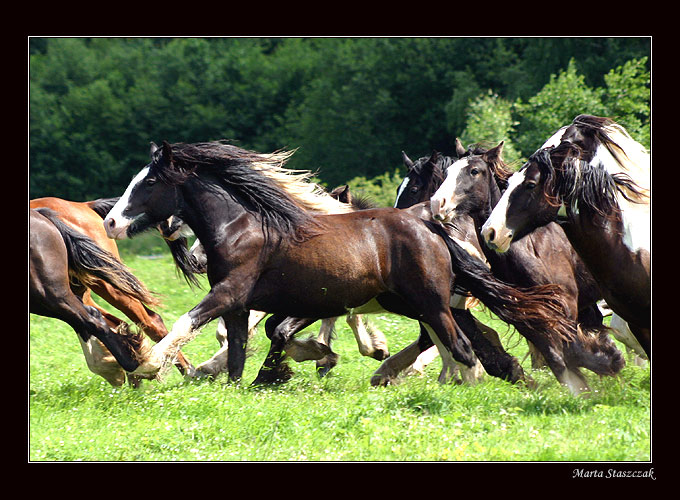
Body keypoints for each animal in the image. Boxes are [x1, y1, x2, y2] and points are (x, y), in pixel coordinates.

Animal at [103, 142, 576, 386]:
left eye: (149, 181)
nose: (110, 221)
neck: (239, 227)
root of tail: (428, 221)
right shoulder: (240, 305)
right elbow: (237, 353)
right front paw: (249, 382)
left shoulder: (230, 294)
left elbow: (189, 322)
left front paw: (146, 364)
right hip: (414, 302)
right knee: (456, 339)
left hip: (428, 300)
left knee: (458, 344)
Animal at [406, 142, 624, 394]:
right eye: (448, 173)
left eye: (474, 171)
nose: (437, 204)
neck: (527, 246)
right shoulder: (528, 312)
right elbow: (555, 354)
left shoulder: (566, 304)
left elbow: (568, 347)